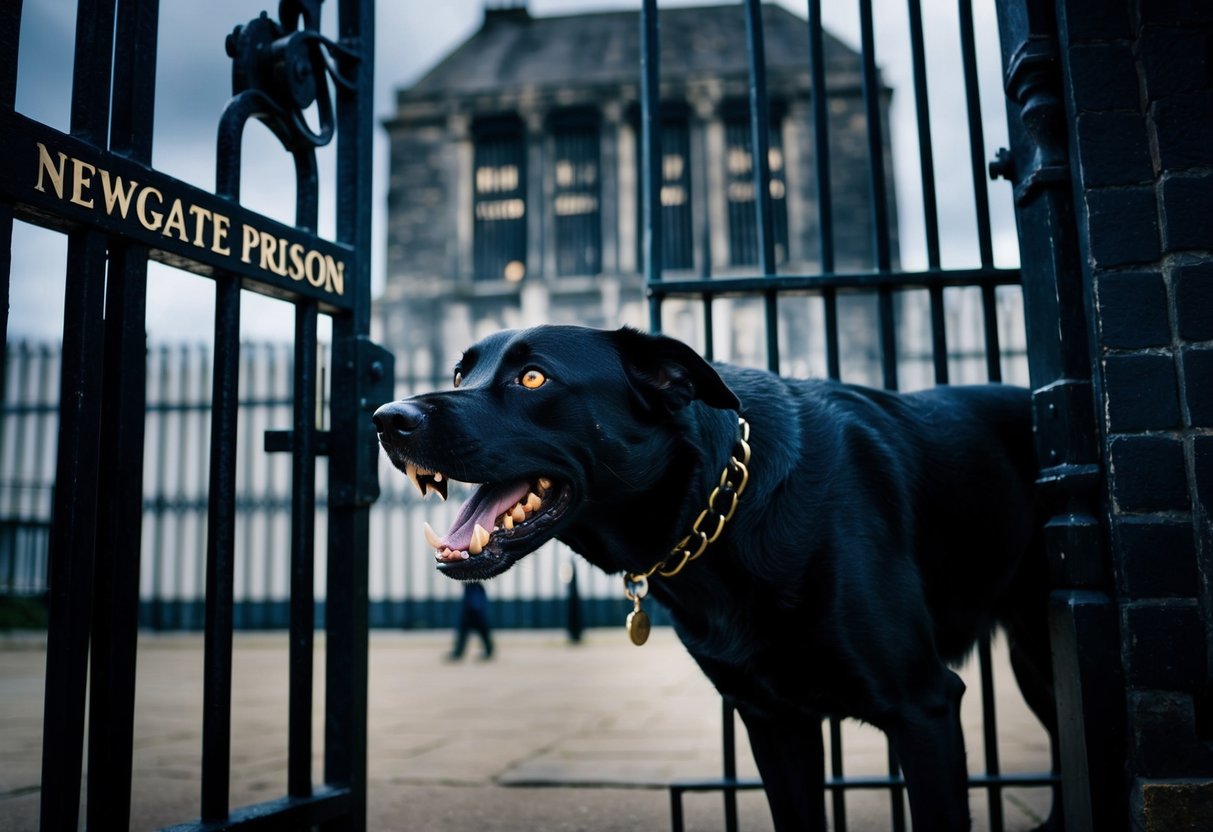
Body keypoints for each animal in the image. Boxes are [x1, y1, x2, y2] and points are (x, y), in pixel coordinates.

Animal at [373, 325, 1057, 832]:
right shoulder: (775, 723)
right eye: (460, 375)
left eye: (533, 377)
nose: (385, 418)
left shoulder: (922, 706)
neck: (719, 508)